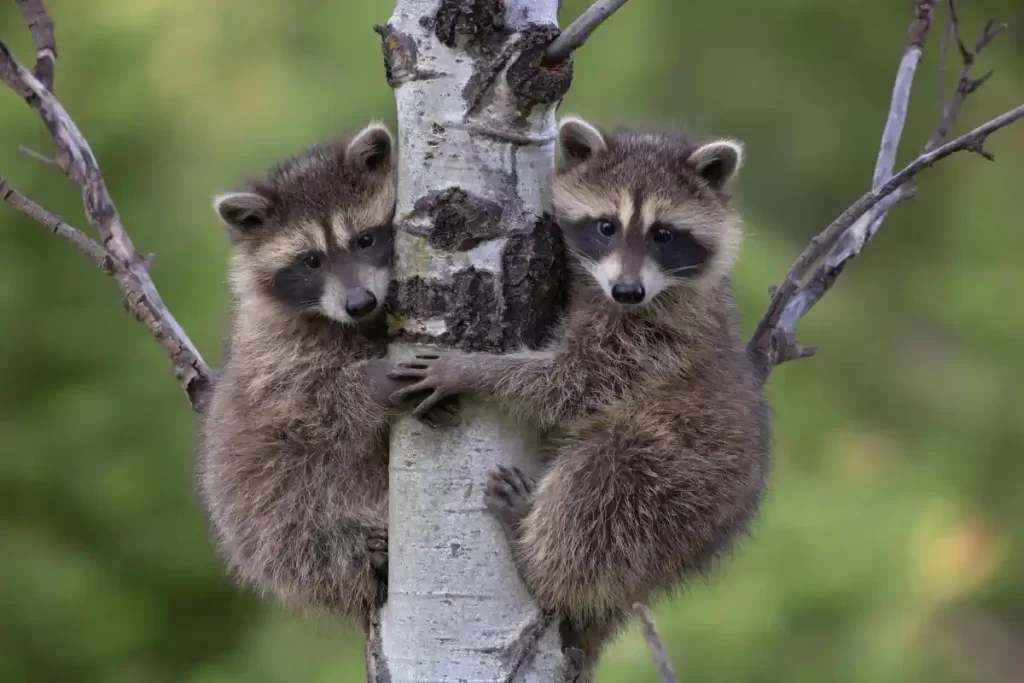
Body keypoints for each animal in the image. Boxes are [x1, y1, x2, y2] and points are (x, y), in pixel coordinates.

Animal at [195, 122, 423, 626]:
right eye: (311, 261)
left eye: (364, 240)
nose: (359, 302)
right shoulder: (275, 356)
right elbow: (311, 408)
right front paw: (369, 382)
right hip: (260, 513)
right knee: (299, 533)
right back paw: (358, 551)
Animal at [387, 117, 770, 671]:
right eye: (606, 226)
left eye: (664, 234)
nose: (628, 291)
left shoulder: (654, 339)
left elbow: (572, 383)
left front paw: (473, 370)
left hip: (680, 488)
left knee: (603, 479)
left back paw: (535, 559)